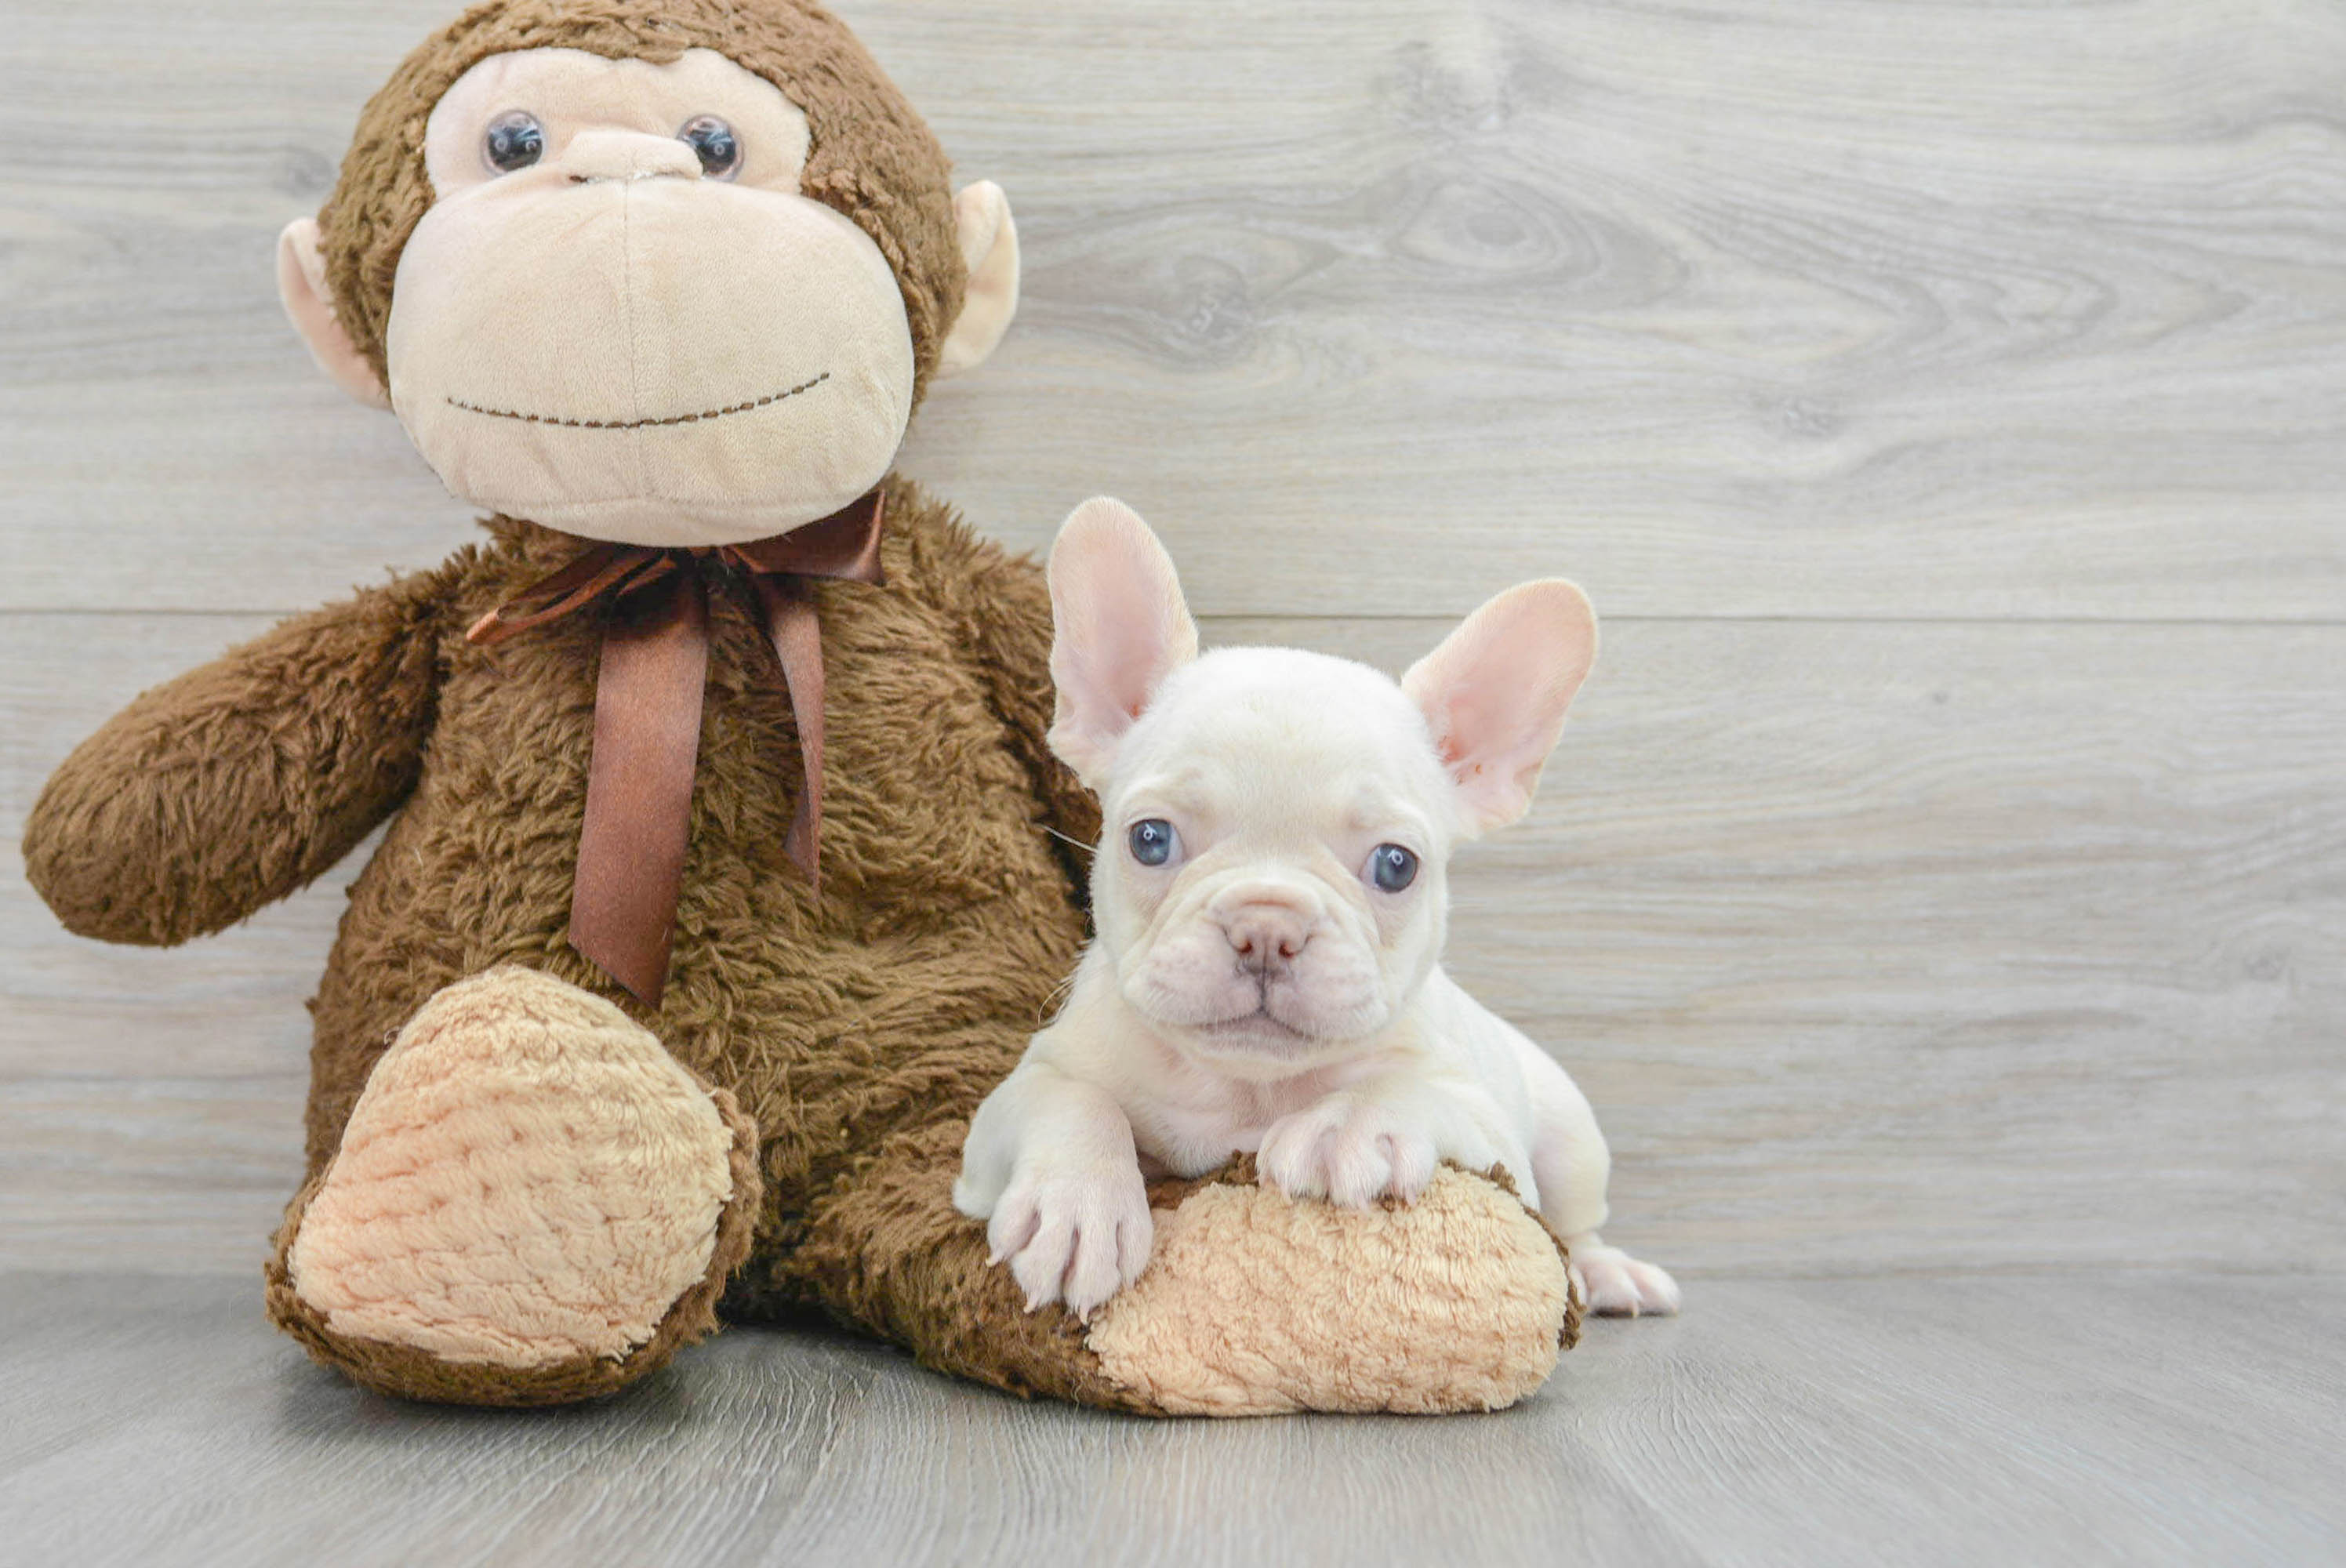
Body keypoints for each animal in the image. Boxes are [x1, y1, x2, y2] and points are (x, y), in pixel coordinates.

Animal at [952, 499, 1689, 1323]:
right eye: (1149, 839)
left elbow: (1412, 1087)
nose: (1266, 928)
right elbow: (1070, 1099)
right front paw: (1077, 1205)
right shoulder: (1009, 1104)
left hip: (1570, 1138)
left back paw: (1609, 1274)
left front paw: (1347, 1124)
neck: (1247, 1085)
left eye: (1396, 865)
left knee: (1579, 1224)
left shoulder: (1492, 1135)